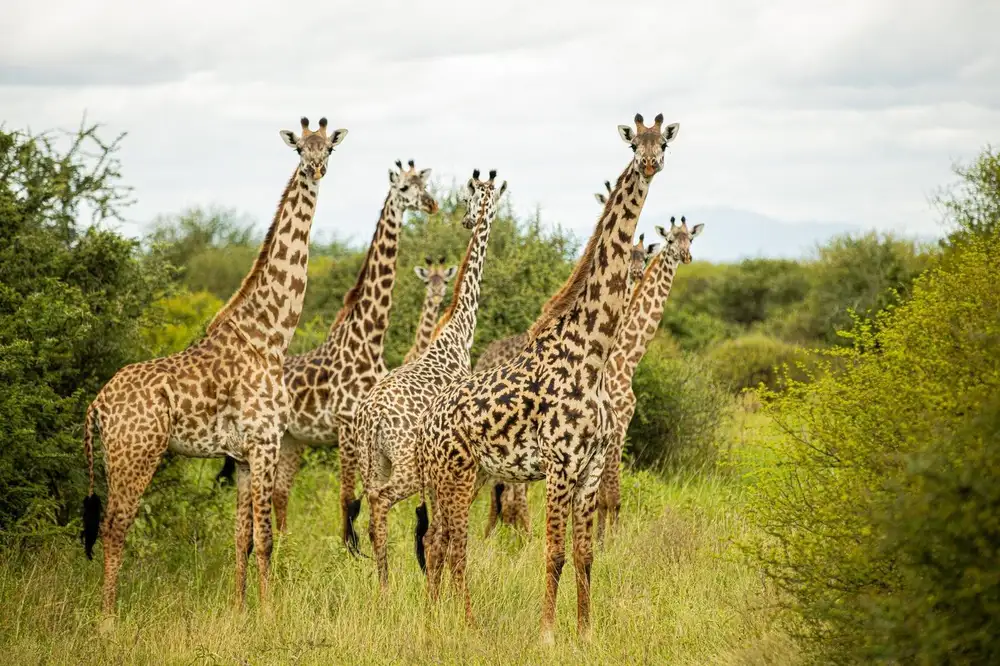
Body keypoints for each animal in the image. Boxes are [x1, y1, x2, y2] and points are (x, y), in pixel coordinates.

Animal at [80, 117, 348, 615]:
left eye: (329, 149)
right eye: (299, 149)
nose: (315, 169)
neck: (270, 336)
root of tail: (97, 405)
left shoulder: (241, 457)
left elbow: (241, 538)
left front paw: (240, 610)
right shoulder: (265, 443)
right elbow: (265, 538)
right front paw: (268, 615)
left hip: (113, 457)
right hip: (136, 454)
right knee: (113, 528)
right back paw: (107, 620)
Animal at [271, 159, 440, 537]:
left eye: (423, 186)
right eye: (403, 189)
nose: (432, 204)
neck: (369, 337)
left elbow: (360, 498)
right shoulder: (346, 426)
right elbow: (347, 498)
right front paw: (347, 547)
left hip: (293, 439)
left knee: (279, 492)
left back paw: (285, 543)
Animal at [352, 169, 506, 588]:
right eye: (470, 200)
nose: (467, 220)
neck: (458, 331)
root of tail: (371, 417)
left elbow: (436, 532)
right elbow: (443, 533)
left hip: (372, 462)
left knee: (370, 514)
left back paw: (381, 585)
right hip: (405, 466)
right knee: (381, 502)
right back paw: (387, 588)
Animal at [596, 216, 703, 543]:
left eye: (691, 239)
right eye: (670, 240)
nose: (687, 256)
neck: (626, 359)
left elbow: (601, 493)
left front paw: (603, 538)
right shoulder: (618, 426)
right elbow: (611, 493)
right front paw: (611, 542)